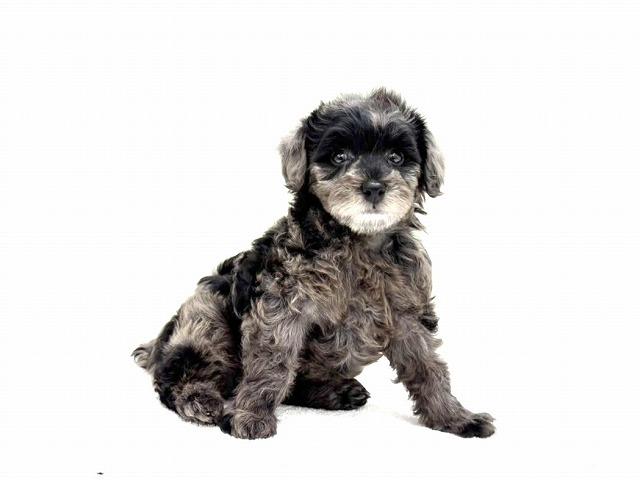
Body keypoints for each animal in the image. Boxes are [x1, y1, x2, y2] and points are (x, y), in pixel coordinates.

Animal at [133, 88, 495, 439]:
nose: (374, 187)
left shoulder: (408, 312)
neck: (357, 241)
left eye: (396, 158)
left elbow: (428, 366)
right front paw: (250, 415)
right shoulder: (280, 308)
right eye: (339, 157)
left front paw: (454, 417)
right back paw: (200, 400)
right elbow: (271, 365)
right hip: (207, 316)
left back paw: (337, 392)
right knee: (175, 379)